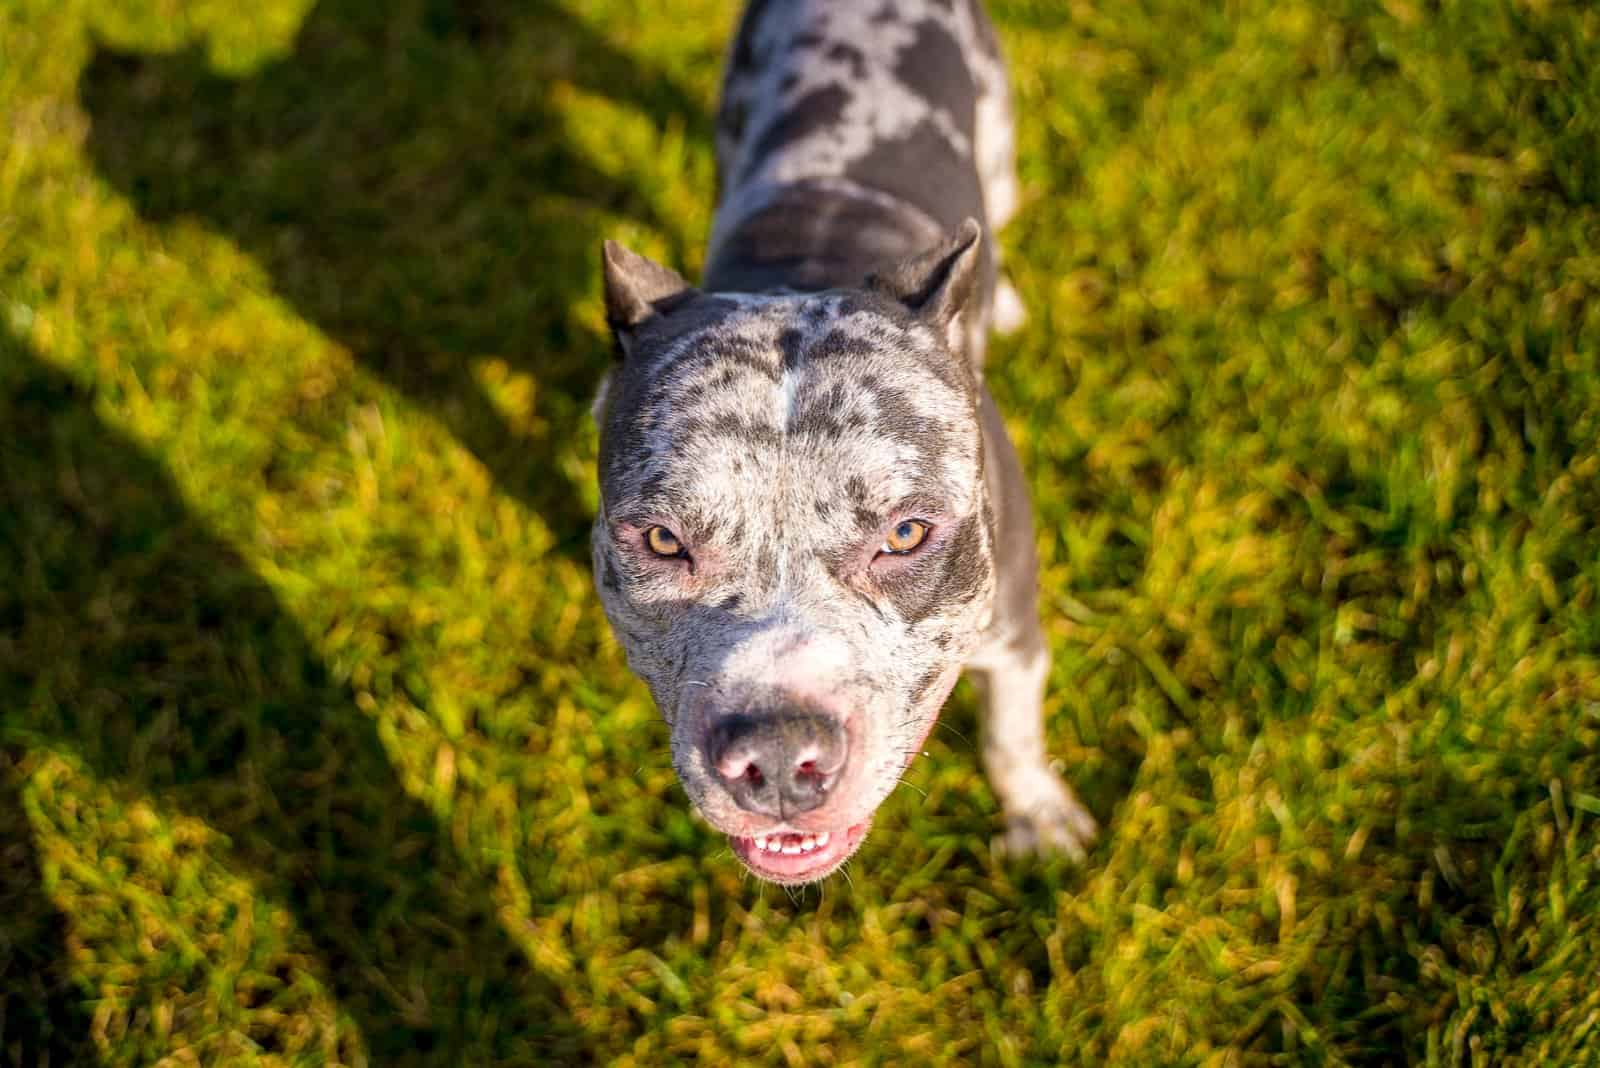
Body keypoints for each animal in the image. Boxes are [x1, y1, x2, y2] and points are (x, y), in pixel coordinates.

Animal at [595, 0, 1094, 882]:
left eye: (907, 535)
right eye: (661, 541)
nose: (776, 755)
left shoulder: (1013, 633)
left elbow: (1011, 734)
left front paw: (1037, 813)